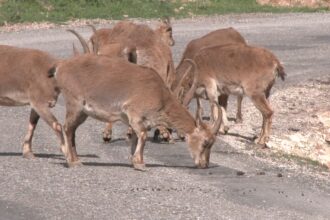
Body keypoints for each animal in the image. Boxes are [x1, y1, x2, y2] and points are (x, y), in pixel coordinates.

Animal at [47, 55, 222, 170]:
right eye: (205, 142)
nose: (204, 165)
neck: (159, 94)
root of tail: (60, 67)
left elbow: (135, 137)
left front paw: (134, 160)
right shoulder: (135, 113)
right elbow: (143, 136)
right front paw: (140, 163)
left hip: (82, 112)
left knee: (72, 130)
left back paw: (75, 158)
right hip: (74, 104)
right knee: (67, 128)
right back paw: (72, 161)